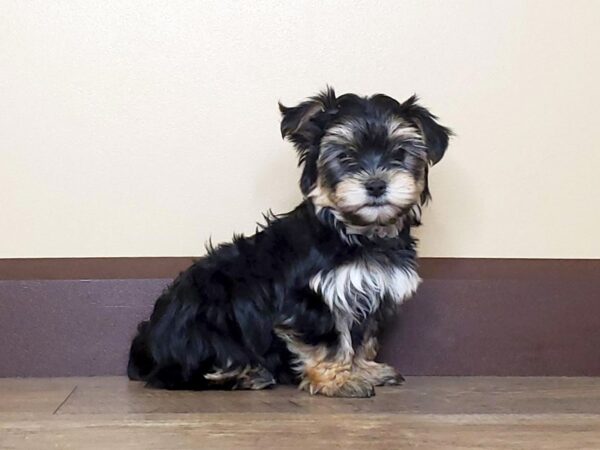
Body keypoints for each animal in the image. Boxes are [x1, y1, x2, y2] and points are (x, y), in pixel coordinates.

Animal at [127, 88, 450, 398]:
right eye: (345, 157)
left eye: (400, 153)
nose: (376, 185)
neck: (355, 230)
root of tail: (147, 343)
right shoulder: (313, 299)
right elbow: (330, 341)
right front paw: (337, 381)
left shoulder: (367, 290)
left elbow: (362, 337)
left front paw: (364, 369)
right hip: (207, 317)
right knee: (178, 373)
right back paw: (245, 375)